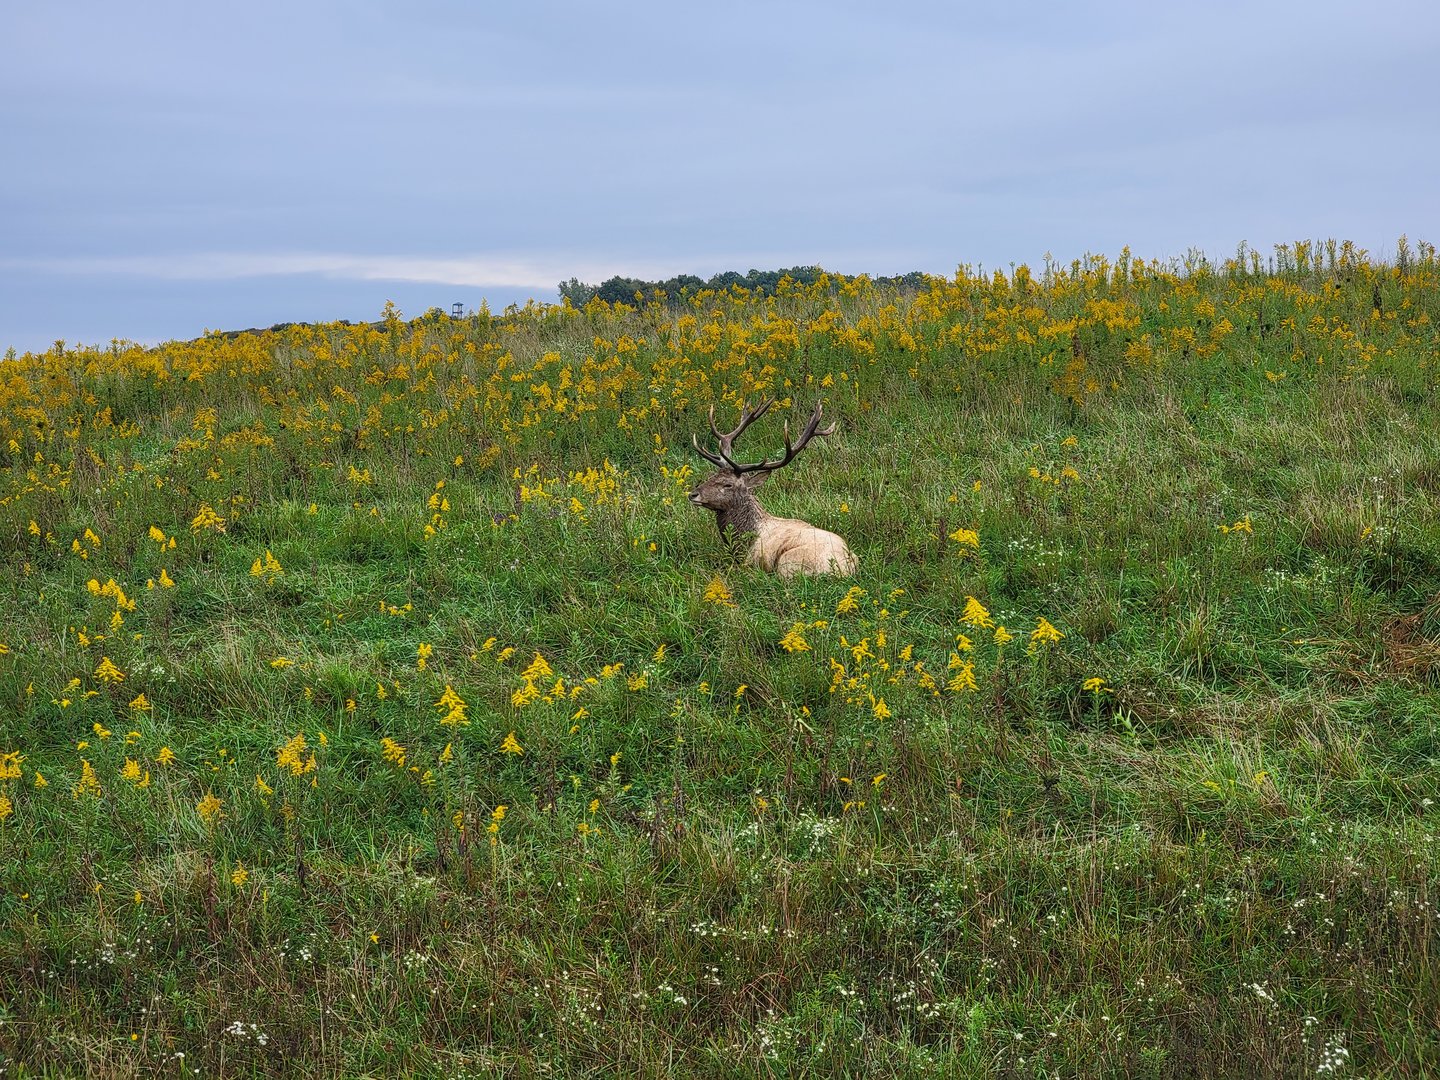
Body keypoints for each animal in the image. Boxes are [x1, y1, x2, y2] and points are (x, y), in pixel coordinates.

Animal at [688, 398, 858, 577]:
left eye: (728, 484)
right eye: (712, 477)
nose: (693, 494)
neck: (743, 542)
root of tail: (846, 568)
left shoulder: (750, 562)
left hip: (788, 562)